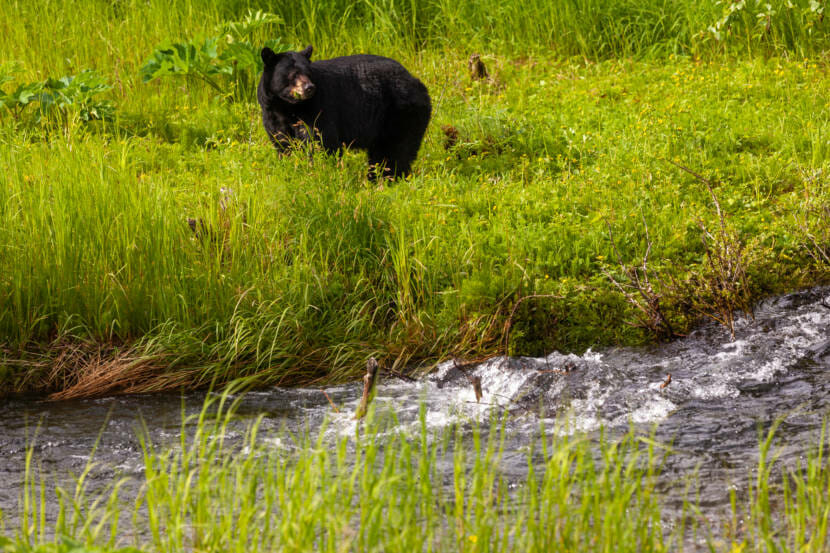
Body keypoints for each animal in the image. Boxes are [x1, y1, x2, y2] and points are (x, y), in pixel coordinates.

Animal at [257, 45, 431, 180]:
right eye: (293, 74)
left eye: (308, 73)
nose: (309, 88)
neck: (288, 107)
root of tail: (417, 82)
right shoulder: (272, 115)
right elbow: (283, 144)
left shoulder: (318, 110)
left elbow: (322, 143)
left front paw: (320, 172)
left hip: (400, 113)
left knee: (394, 151)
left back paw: (385, 179)